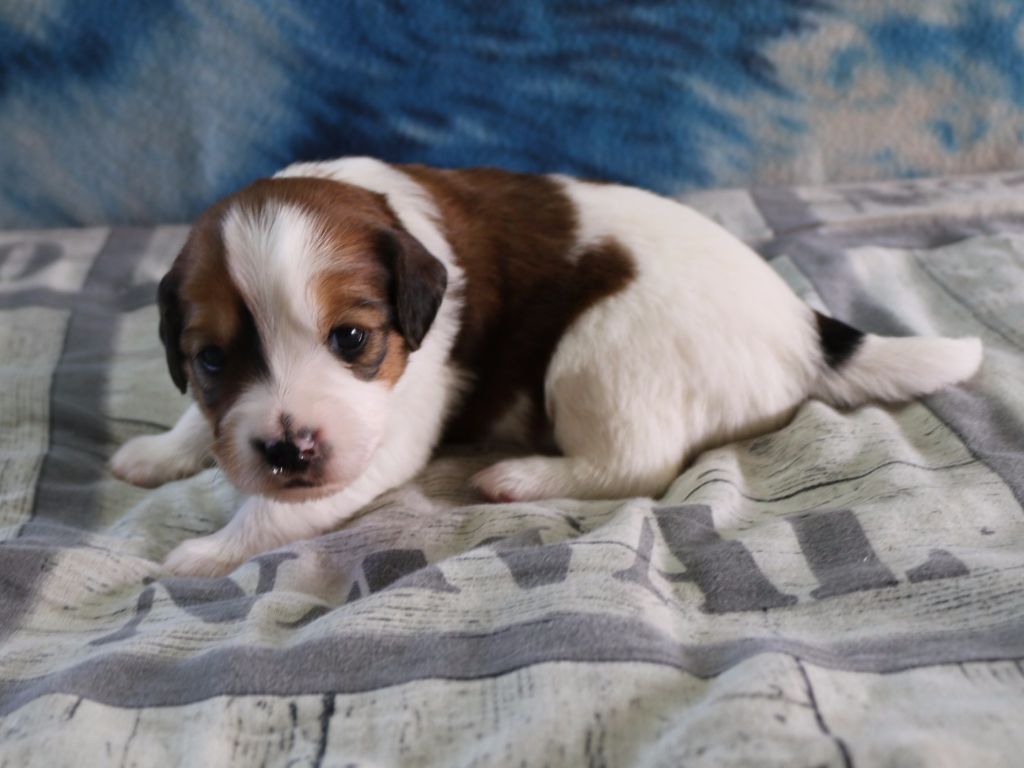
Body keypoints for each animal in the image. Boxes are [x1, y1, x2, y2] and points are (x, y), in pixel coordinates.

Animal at [110, 157, 983, 577]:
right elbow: (198, 423)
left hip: (598, 352)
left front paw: (211, 553)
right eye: (211, 359)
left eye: (351, 339)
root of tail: (804, 327)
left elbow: (287, 510)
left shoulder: (388, 433)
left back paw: (520, 476)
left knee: (639, 463)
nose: (288, 448)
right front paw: (161, 451)